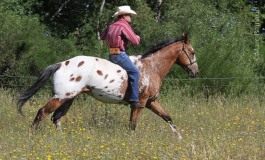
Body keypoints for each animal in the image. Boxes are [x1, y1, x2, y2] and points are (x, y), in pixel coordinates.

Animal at [17, 32, 197, 139]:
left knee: (56, 118)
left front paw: (180, 138)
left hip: (68, 98)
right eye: (192, 52)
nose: (195, 72)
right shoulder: (139, 103)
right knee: (42, 112)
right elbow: (132, 125)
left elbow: (167, 117)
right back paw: (31, 137)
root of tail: (61, 64)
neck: (152, 67)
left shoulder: (151, 102)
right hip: (61, 97)